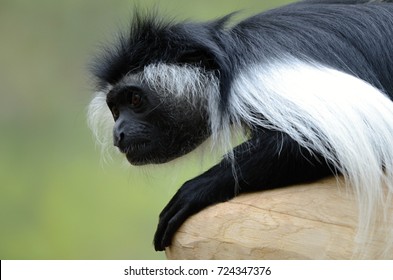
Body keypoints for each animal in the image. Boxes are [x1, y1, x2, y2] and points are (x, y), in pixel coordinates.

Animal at [87, 0, 392, 256]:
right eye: (115, 110)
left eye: (135, 100)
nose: (118, 133)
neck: (226, 63)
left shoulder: (260, 80)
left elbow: (313, 143)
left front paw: (193, 190)